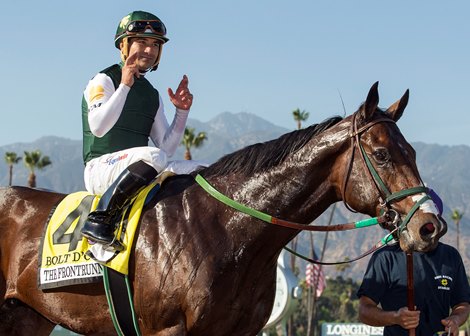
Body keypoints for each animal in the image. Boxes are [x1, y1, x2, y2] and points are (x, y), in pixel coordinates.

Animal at [0, 82, 446, 336]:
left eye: (412, 152)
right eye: (383, 155)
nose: (430, 225)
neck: (227, 232)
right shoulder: (167, 330)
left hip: (28, 317)